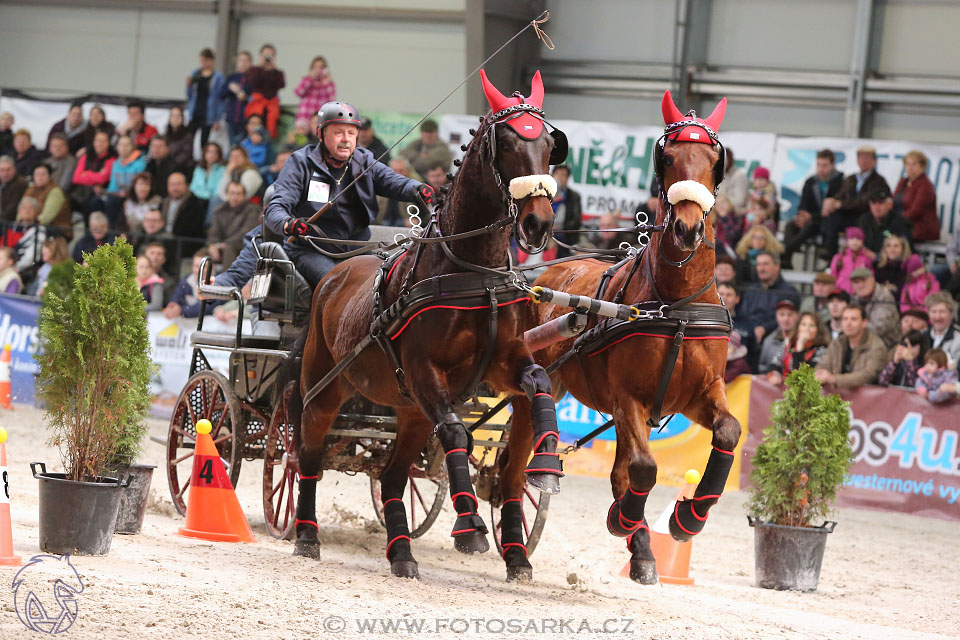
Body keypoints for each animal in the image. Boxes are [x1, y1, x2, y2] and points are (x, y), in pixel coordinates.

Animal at [284, 70, 568, 580]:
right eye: (507, 142)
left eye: (548, 144)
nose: (538, 223)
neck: (471, 269)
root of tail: (336, 272)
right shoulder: (423, 371)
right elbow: (456, 433)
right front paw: (470, 525)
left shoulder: (503, 361)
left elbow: (538, 382)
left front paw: (546, 461)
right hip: (326, 390)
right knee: (309, 457)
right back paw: (307, 536)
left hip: (410, 411)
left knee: (393, 476)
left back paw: (401, 554)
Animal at [506, 91, 740, 584]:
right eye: (667, 158)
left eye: (715, 160)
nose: (688, 228)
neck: (675, 306)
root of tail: (543, 276)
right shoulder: (628, 398)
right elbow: (644, 469)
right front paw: (626, 519)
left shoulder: (700, 393)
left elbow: (728, 431)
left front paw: (686, 519)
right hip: (535, 390)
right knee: (514, 467)